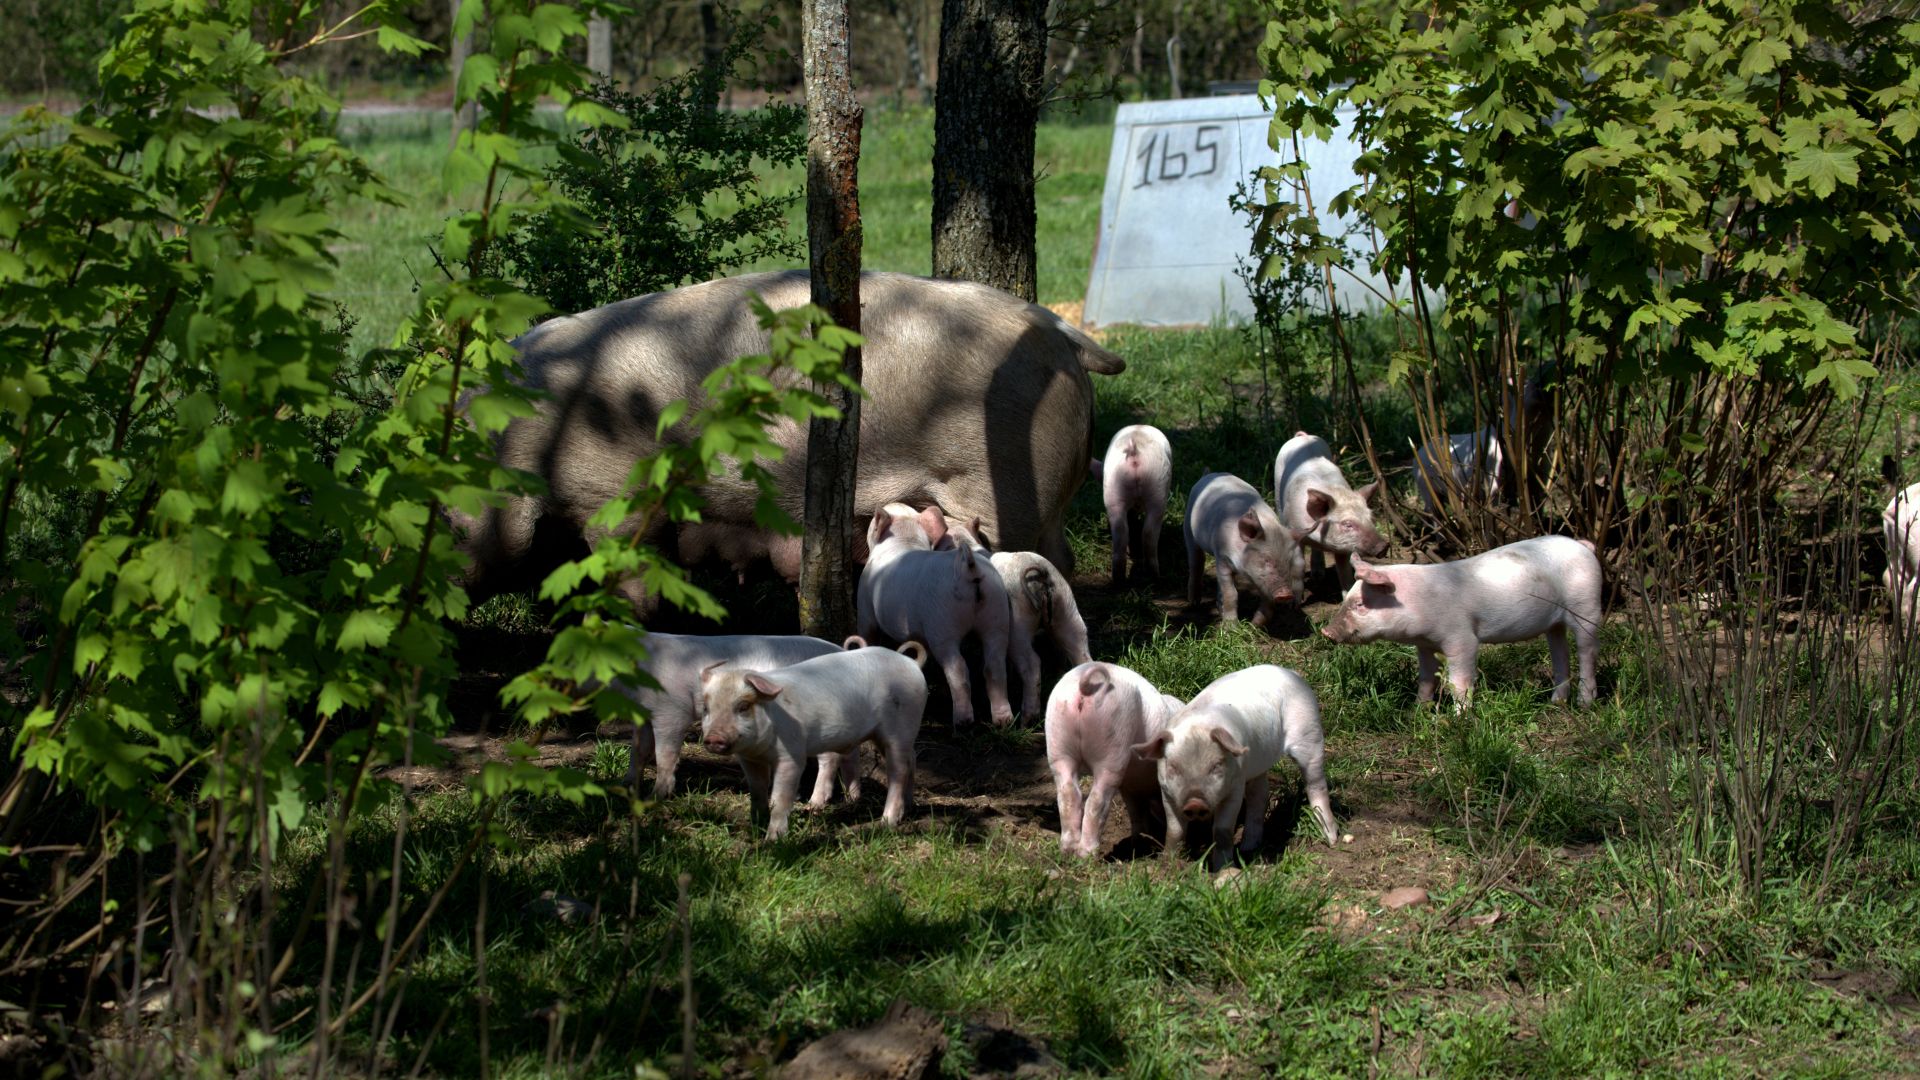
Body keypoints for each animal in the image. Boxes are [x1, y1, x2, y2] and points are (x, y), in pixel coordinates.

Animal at [1036, 661, 1182, 853]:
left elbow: (1136, 812)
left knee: (1068, 793)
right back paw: (1087, 853)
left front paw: (1138, 842)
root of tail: (1086, 685)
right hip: (1115, 739)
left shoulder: (1130, 787)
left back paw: (1068, 850)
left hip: (1057, 739)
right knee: (1097, 799)